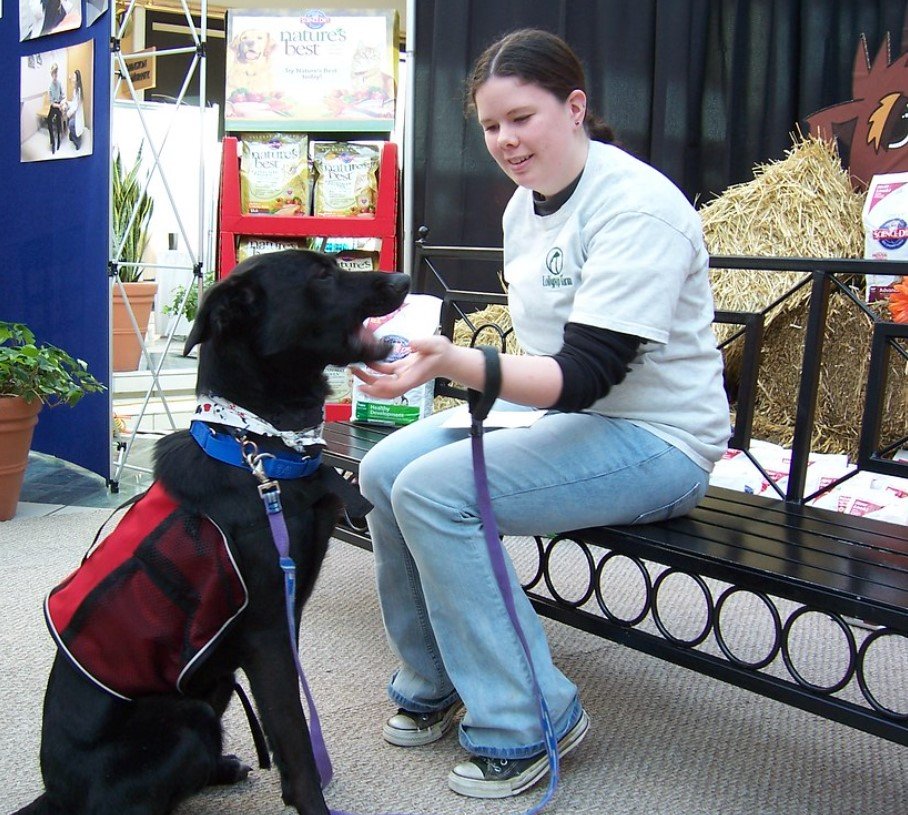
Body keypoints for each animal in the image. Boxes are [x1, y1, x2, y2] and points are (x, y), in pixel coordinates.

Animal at [14, 250, 410, 815]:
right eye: (321, 275)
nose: (403, 279)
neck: (258, 445)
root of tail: (55, 794)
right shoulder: (268, 631)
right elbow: (293, 733)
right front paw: (311, 801)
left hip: (214, 678)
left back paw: (223, 766)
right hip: (188, 717)